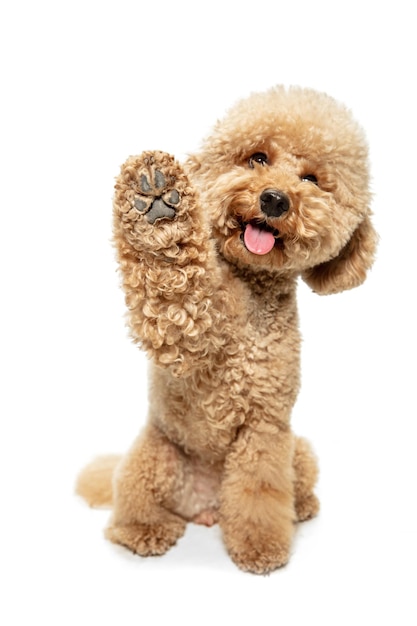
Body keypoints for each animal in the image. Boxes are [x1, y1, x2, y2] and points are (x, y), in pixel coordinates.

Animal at [75, 85, 376, 572]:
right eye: (257, 157)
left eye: (312, 179)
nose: (275, 199)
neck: (251, 290)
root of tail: (205, 507)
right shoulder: (186, 329)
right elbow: (173, 278)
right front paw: (157, 200)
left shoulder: (264, 430)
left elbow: (259, 492)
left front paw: (259, 546)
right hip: (155, 458)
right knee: (132, 505)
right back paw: (144, 529)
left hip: (298, 450)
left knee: (293, 483)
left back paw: (302, 506)